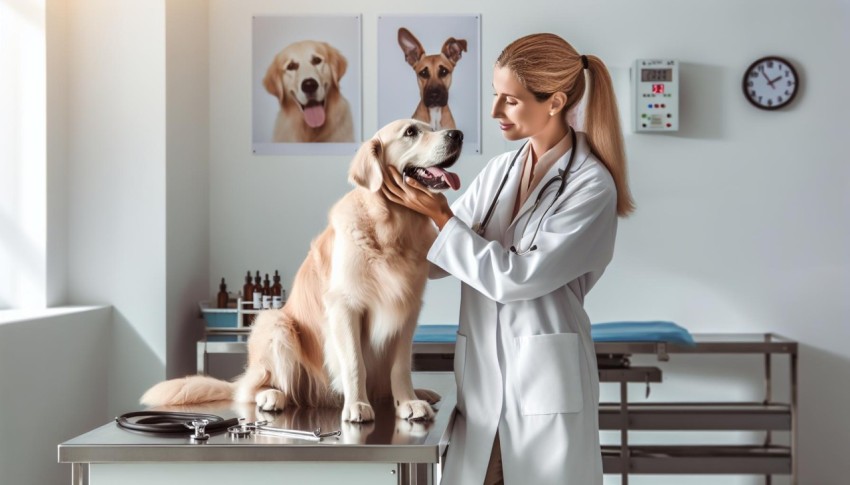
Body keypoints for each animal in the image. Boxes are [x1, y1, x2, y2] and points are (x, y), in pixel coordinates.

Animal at [144, 119, 464, 422]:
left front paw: (408, 402)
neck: (392, 228)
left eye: (433, 127)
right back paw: (271, 396)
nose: (457, 134)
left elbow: (400, 366)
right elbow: (354, 363)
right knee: (253, 388)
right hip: (274, 322)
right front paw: (357, 405)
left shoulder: (407, 310)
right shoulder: (345, 306)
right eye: (410, 132)